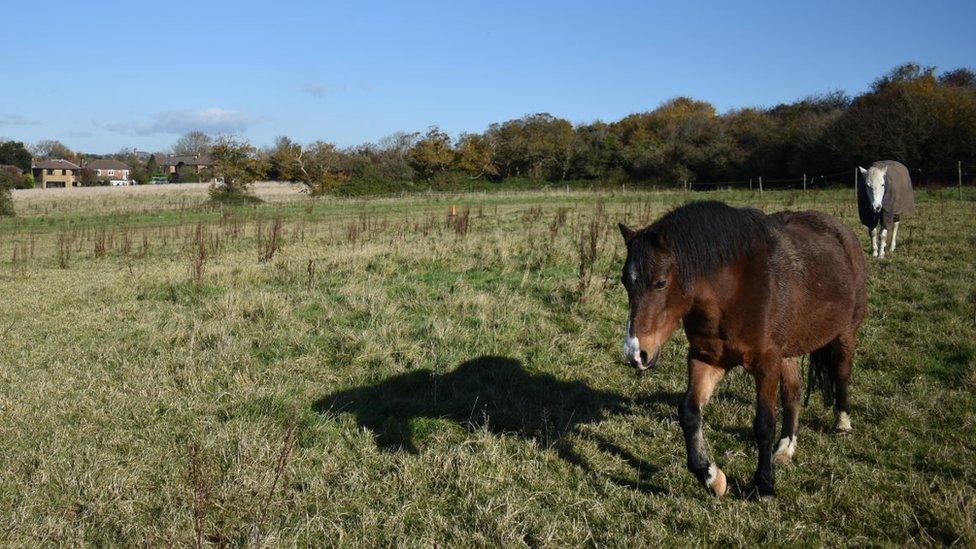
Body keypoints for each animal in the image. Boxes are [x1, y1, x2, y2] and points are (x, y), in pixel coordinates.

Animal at [620, 201, 864, 496]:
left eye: (660, 283)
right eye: (625, 281)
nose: (636, 353)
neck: (734, 291)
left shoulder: (767, 364)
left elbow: (764, 423)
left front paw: (764, 485)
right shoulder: (706, 358)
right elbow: (689, 412)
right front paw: (712, 476)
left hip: (845, 333)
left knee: (841, 373)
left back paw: (842, 423)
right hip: (789, 352)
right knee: (793, 394)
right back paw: (785, 449)